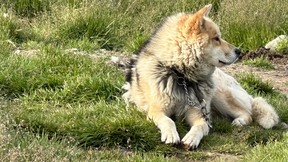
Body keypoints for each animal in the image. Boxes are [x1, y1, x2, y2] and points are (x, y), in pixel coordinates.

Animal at [121, 4, 280, 149]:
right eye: (216, 39)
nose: (239, 51)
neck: (181, 76)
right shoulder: (156, 110)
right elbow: (168, 121)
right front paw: (171, 135)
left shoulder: (198, 114)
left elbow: (201, 126)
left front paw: (191, 139)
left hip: (220, 95)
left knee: (248, 113)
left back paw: (238, 121)